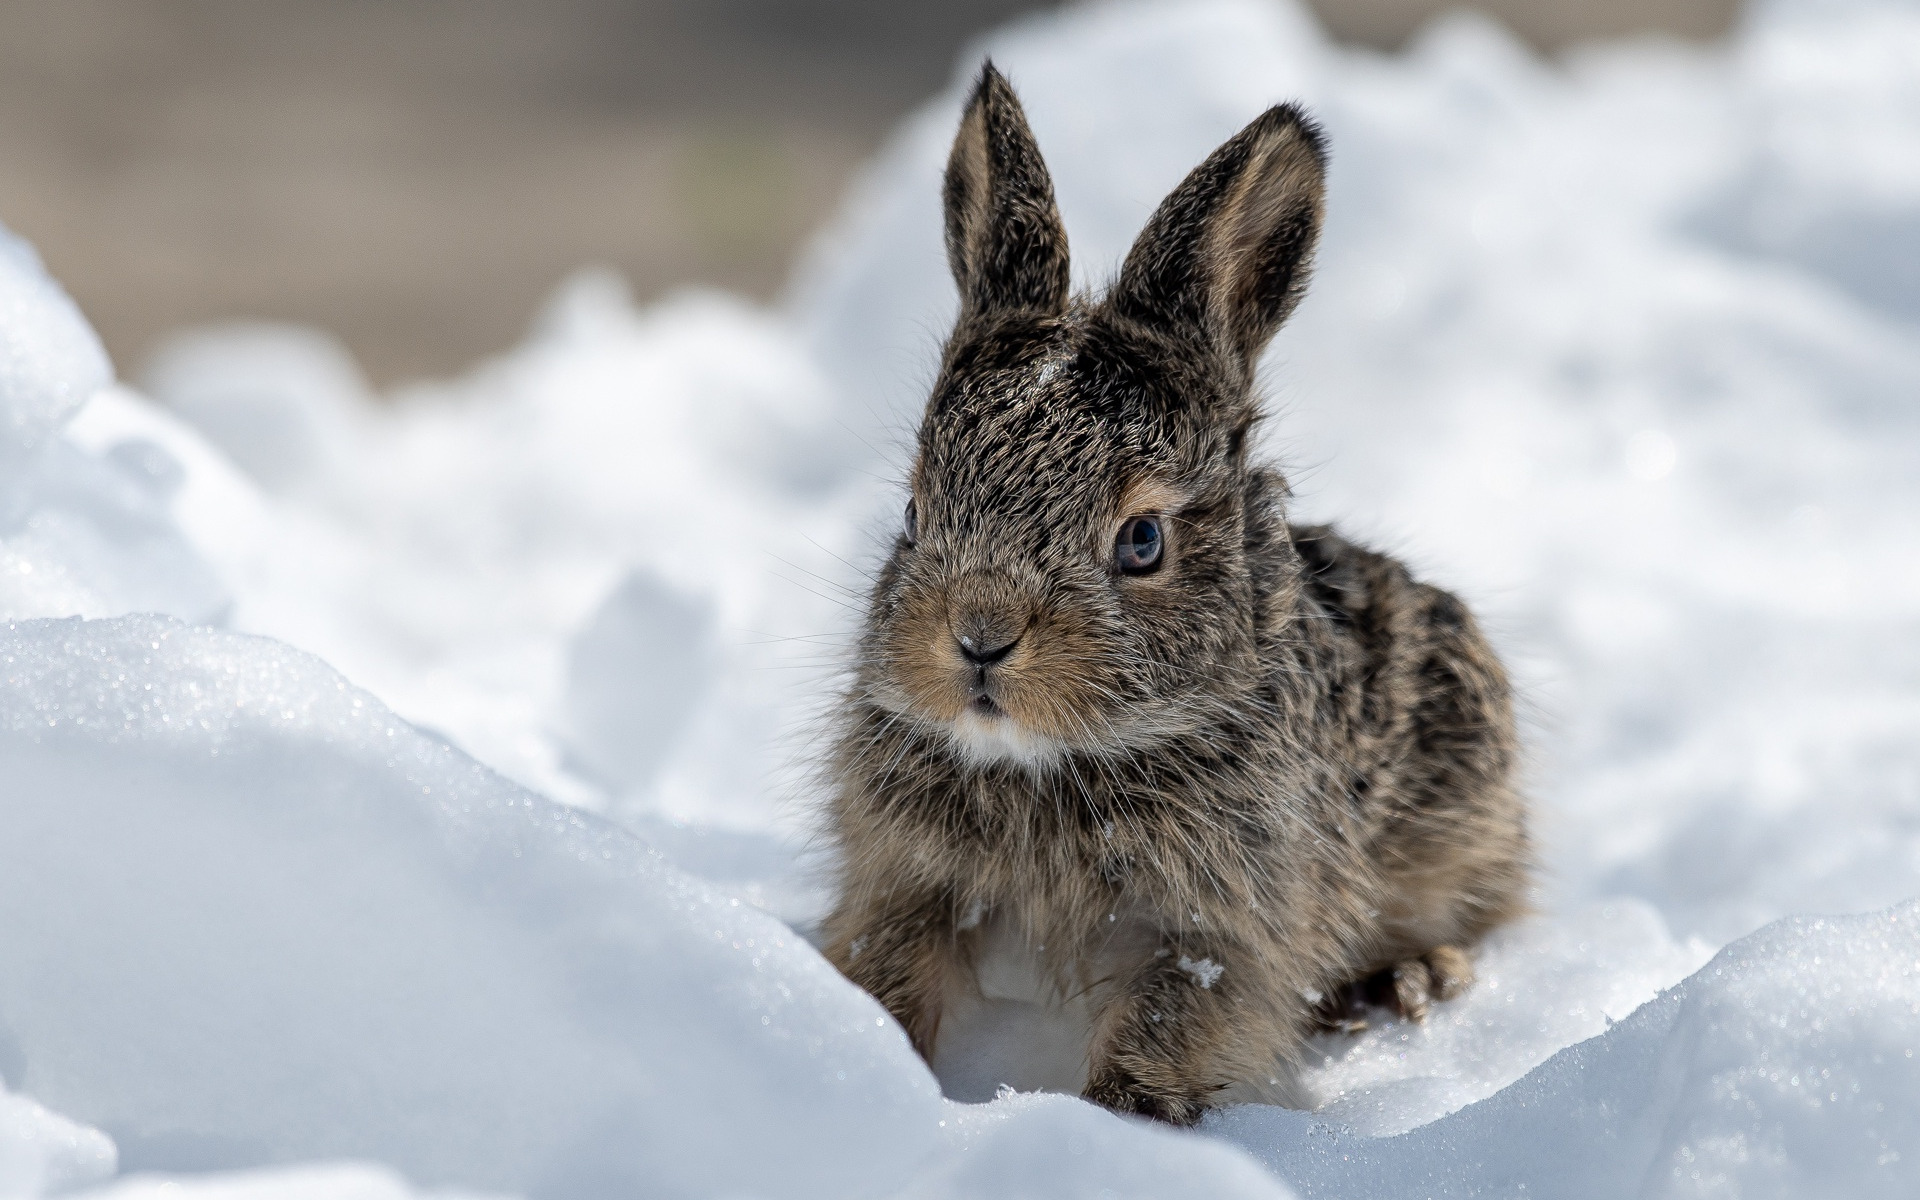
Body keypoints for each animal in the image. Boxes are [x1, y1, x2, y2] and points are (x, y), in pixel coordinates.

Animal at [821, 60, 1528, 1121]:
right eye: (914, 510)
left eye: (1142, 541)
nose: (980, 637)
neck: (1048, 765)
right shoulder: (905, 881)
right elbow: (890, 972)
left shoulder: (1226, 927)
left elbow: (1171, 1024)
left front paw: (1122, 1121)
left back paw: (1411, 978)